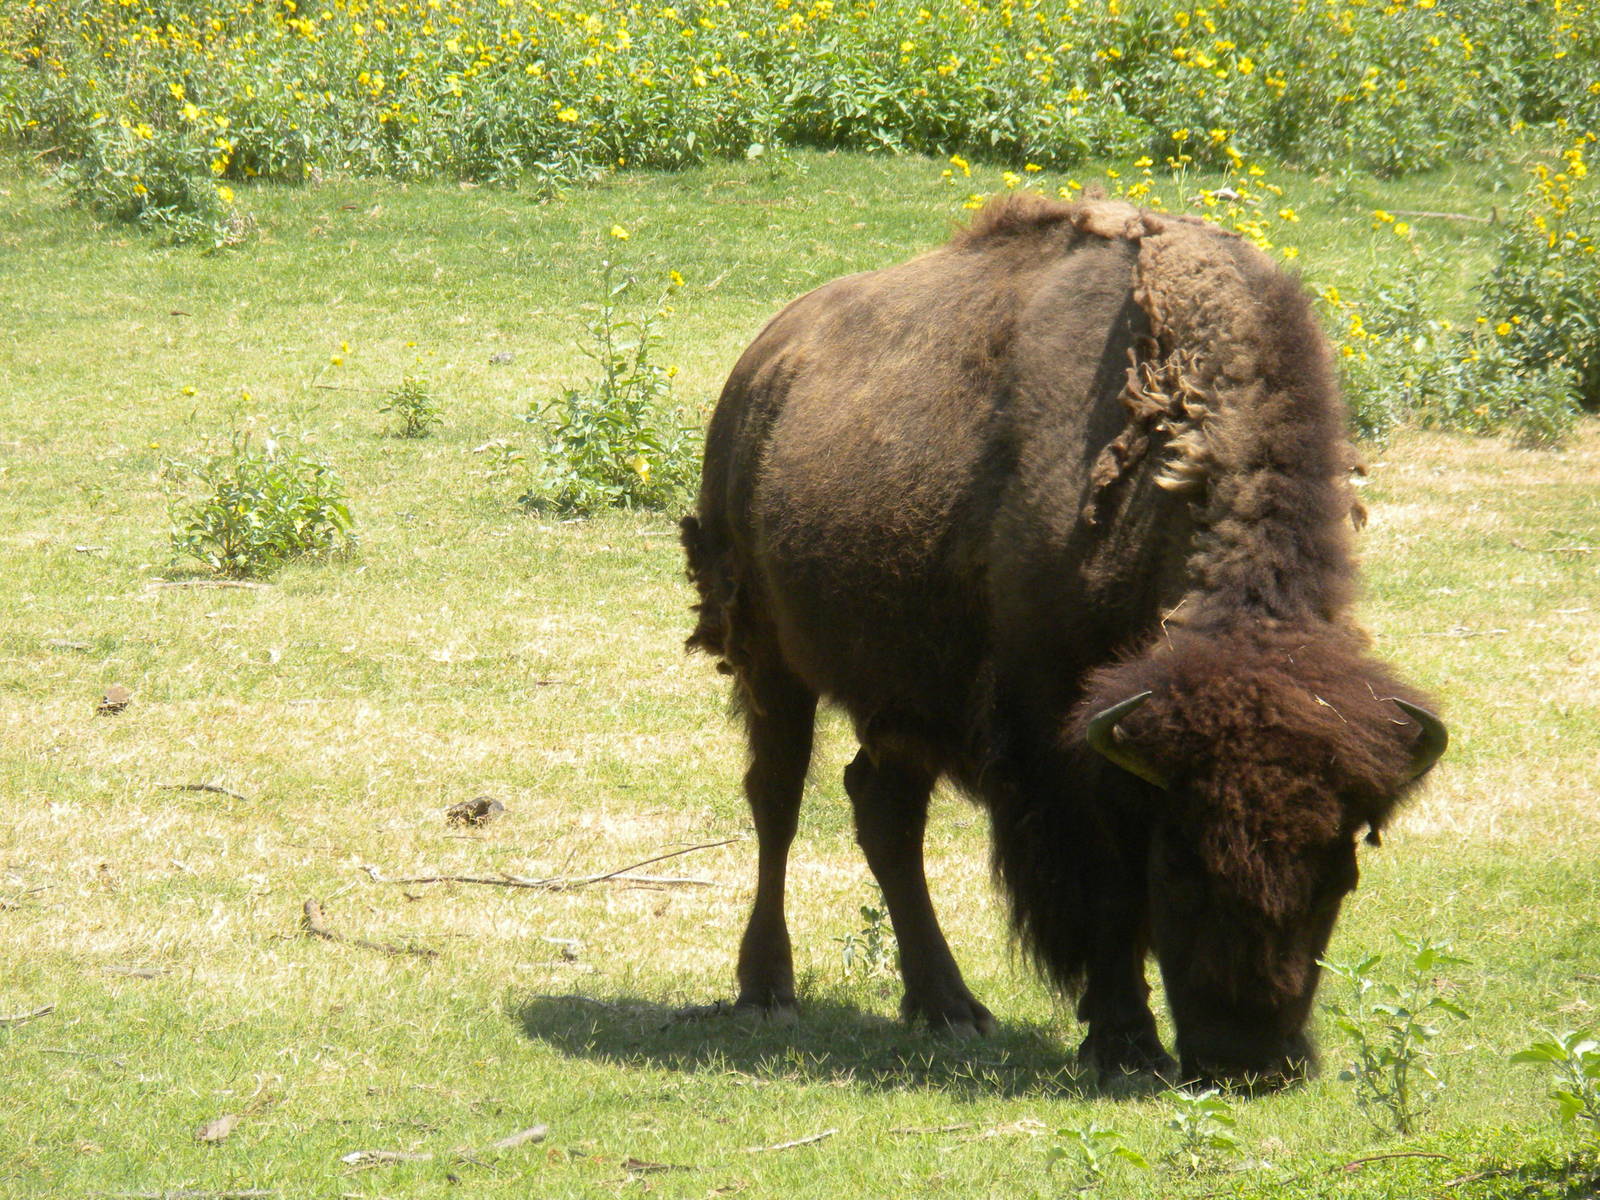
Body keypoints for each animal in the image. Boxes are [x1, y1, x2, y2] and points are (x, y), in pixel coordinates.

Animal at [680, 194, 1446, 1085]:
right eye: (1178, 862)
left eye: (1339, 871)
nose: (1249, 1059)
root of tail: (762, 363)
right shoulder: (1064, 747)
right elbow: (1106, 890)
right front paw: (1125, 1045)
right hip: (768, 658)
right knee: (777, 799)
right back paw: (769, 989)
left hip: (902, 696)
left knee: (883, 814)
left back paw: (951, 1008)